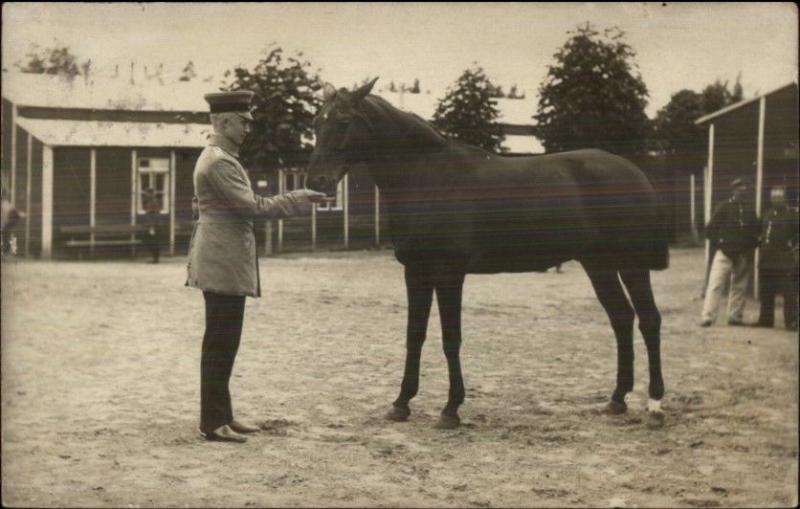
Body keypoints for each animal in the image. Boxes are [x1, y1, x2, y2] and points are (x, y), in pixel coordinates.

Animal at [306, 79, 668, 428]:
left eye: (344, 121)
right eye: (316, 121)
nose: (317, 181)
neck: (428, 178)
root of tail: (635, 173)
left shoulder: (450, 273)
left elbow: (451, 338)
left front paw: (450, 409)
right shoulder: (416, 271)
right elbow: (415, 335)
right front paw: (401, 403)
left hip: (632, 262)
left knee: (649, 319)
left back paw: (655, 404)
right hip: (598, 263)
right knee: (622, 317)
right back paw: (617, 399)